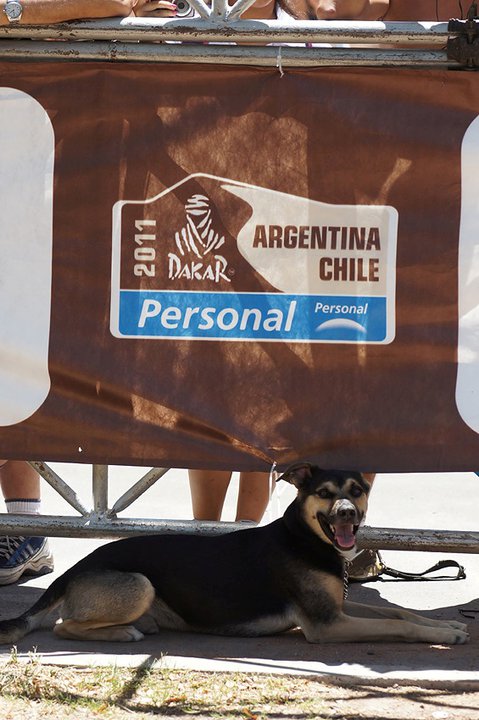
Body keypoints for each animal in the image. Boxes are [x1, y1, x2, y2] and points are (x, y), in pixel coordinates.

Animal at [0, 466, 468, 648]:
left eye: (357, 490)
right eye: (324, 493)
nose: (347, 514)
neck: (304, 537)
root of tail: (70, 573)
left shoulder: (341, 607)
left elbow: (400, 613)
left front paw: (446, 625)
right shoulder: (326, 625)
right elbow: (397, 625)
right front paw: (442, 636)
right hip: (139, 583)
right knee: (62, 627)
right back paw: (123, 633)